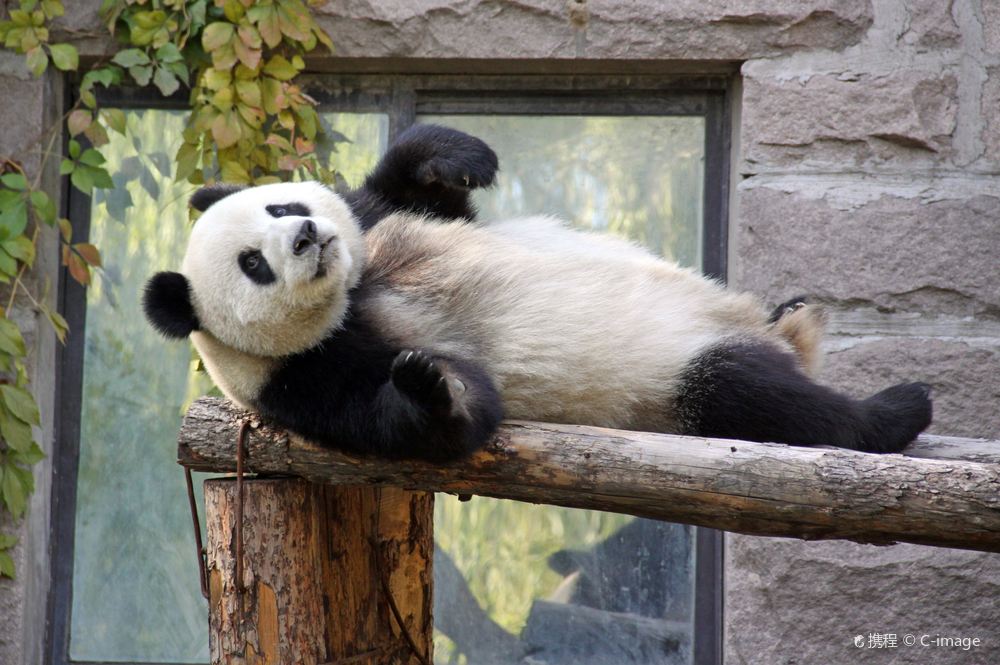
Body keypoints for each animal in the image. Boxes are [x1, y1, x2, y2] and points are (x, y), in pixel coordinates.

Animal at [143, 125, 933, 462]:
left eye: (279, 207)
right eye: (253, 264)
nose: (307, 236)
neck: (352, 294)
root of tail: (788, 342)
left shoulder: (377, 225)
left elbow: (418, 195)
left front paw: (458, 157)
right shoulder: (303, 379)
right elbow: (423, 424)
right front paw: (432, 387)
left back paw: (793, 311)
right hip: (674, 380)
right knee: (750, 392)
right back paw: (894, 409)